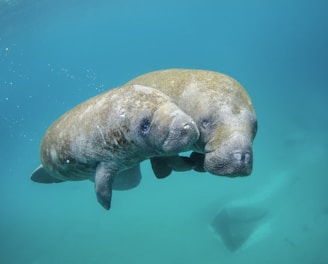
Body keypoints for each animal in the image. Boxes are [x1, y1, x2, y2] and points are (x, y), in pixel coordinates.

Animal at [30, 85, 199, 210]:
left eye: (174, 103)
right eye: (145, 125)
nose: (187, 126)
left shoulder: (159, 149)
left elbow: (174, 160)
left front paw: (189, 162)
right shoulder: (106, 158)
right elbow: (102, 183)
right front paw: (105, 205)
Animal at [127, 69, 258, 178]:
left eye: (256, 128)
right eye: (205, 123)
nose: (241, 157)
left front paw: (197, 163)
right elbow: (171, 157)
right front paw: (190, 163)